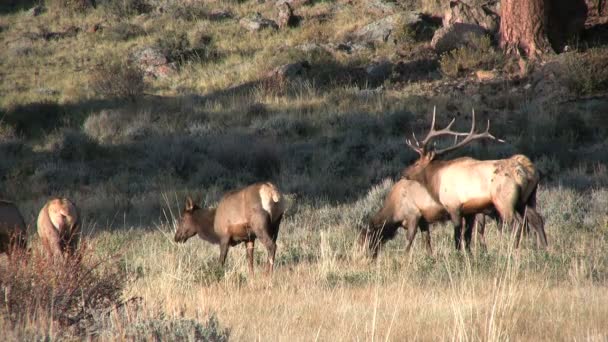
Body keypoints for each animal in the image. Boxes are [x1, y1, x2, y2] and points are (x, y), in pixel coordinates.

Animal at [358, 179, 486, 256]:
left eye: (369, 237)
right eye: (360, 240)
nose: (365, 256)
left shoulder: (414, 216)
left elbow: (409, 240)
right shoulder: (423, 221)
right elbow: (427, 240)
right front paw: (430, 256)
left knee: (478, 228)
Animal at [404, 108, 548, 250]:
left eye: (416, 163)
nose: (404, 173)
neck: (436, 180)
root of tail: (530, 171)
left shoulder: (454, 206)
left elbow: (457, 236)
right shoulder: (470, 211)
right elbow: (468, 236)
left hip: (504, 200)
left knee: (517, 223)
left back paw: (513, 248)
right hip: (527, 199)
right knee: (536, 219)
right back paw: (544, 248)